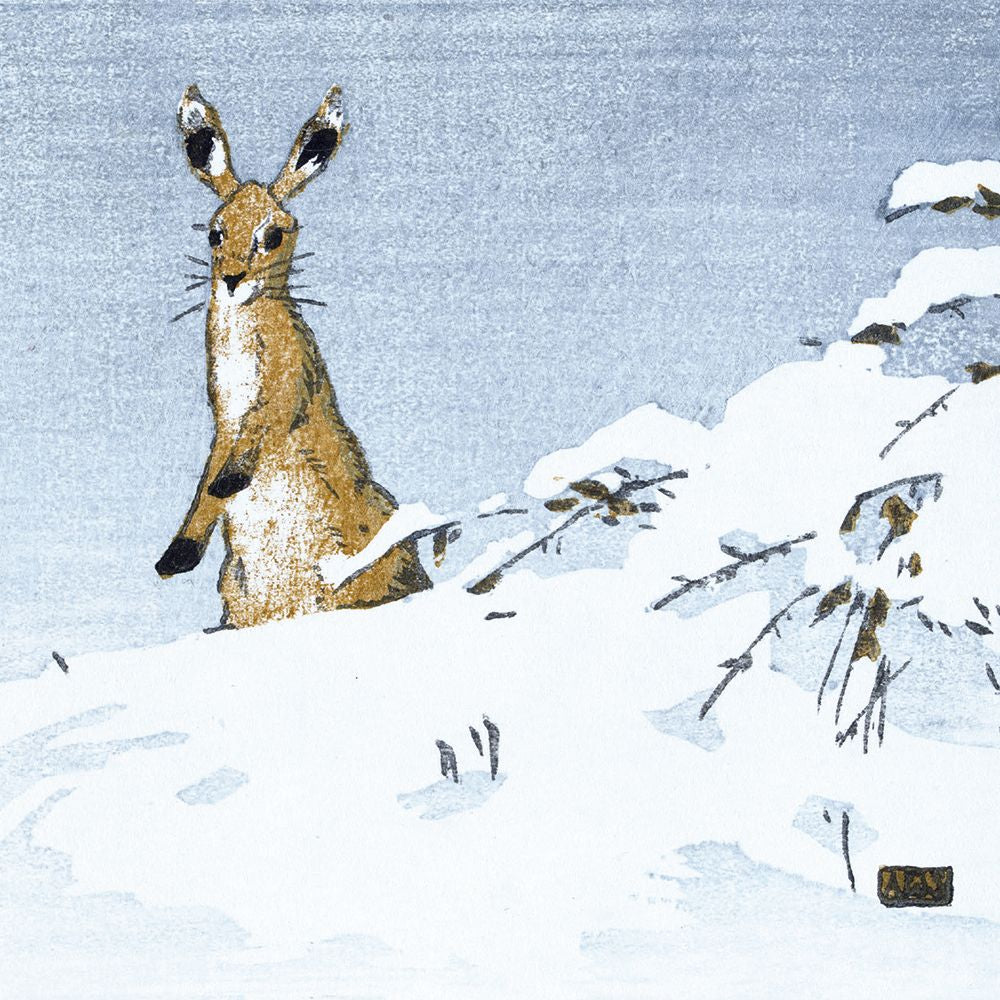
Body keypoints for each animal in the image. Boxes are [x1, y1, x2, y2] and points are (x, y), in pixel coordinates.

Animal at [156, 84, 431, 629]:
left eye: (274, 235)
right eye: (214, 233)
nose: (232, 280)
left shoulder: (285, 385)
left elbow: (257, 435)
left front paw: (230, 484)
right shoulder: (224, 417)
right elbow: (206, 485)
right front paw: (175, 557)